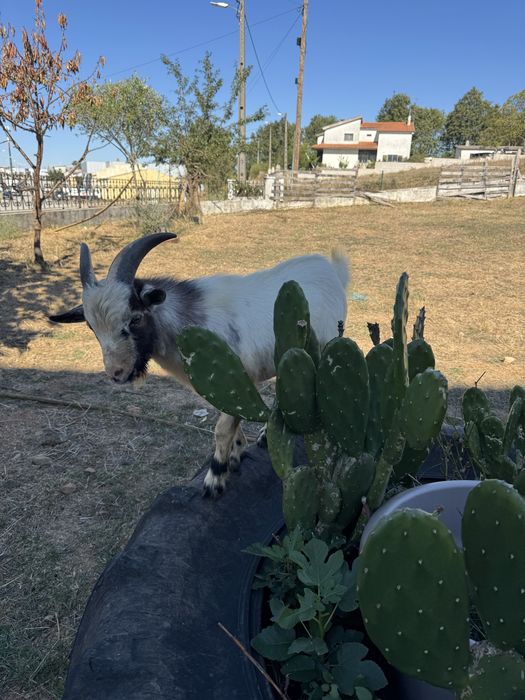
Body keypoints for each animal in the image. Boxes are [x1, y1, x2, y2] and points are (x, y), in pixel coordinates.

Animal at [49, 233, 349, 497]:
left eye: (134, 318)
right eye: (91, 327)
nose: (116, 373)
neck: (188, 325)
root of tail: (331, 268)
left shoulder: (236, 379)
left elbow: (221, 429)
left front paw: (215, 479)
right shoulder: (226, 388)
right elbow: (232, 425)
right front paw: (236, 455)